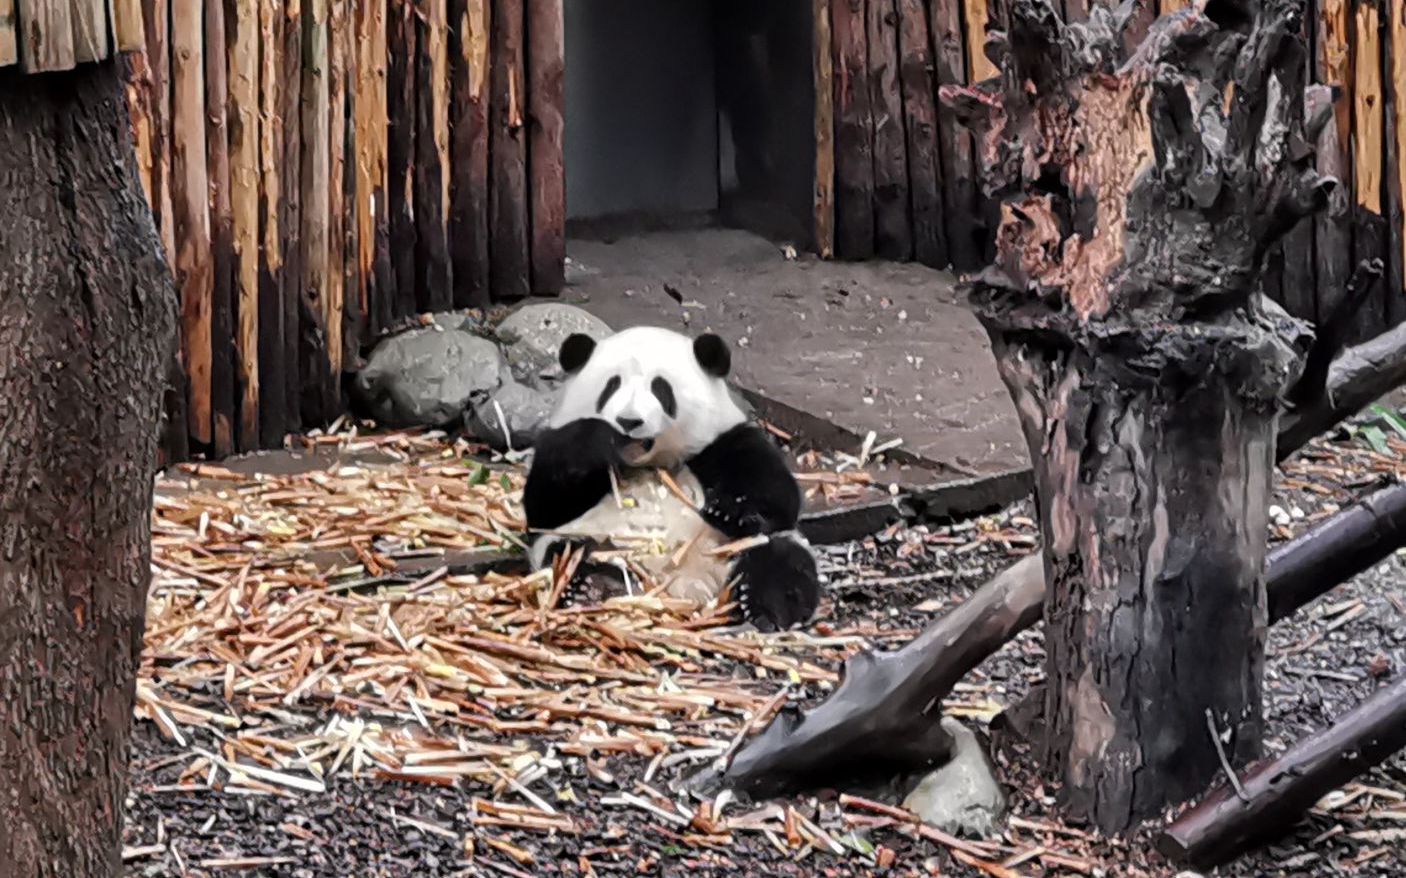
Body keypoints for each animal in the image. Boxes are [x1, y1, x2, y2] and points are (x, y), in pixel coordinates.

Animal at [523, 323, 821, 630]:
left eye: (661, 389)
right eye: (612, 385)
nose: (629, 421)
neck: (648, 462)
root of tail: (683, 589)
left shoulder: (722, 441)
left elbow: (776, 494)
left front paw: (731, 510)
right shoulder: (553, 447)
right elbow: (546, 506)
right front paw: (597, 440)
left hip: (732, 549)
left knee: (779, 560)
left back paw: (769, 609)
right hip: (595, 541)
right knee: (575, 555)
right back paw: (593, 588)